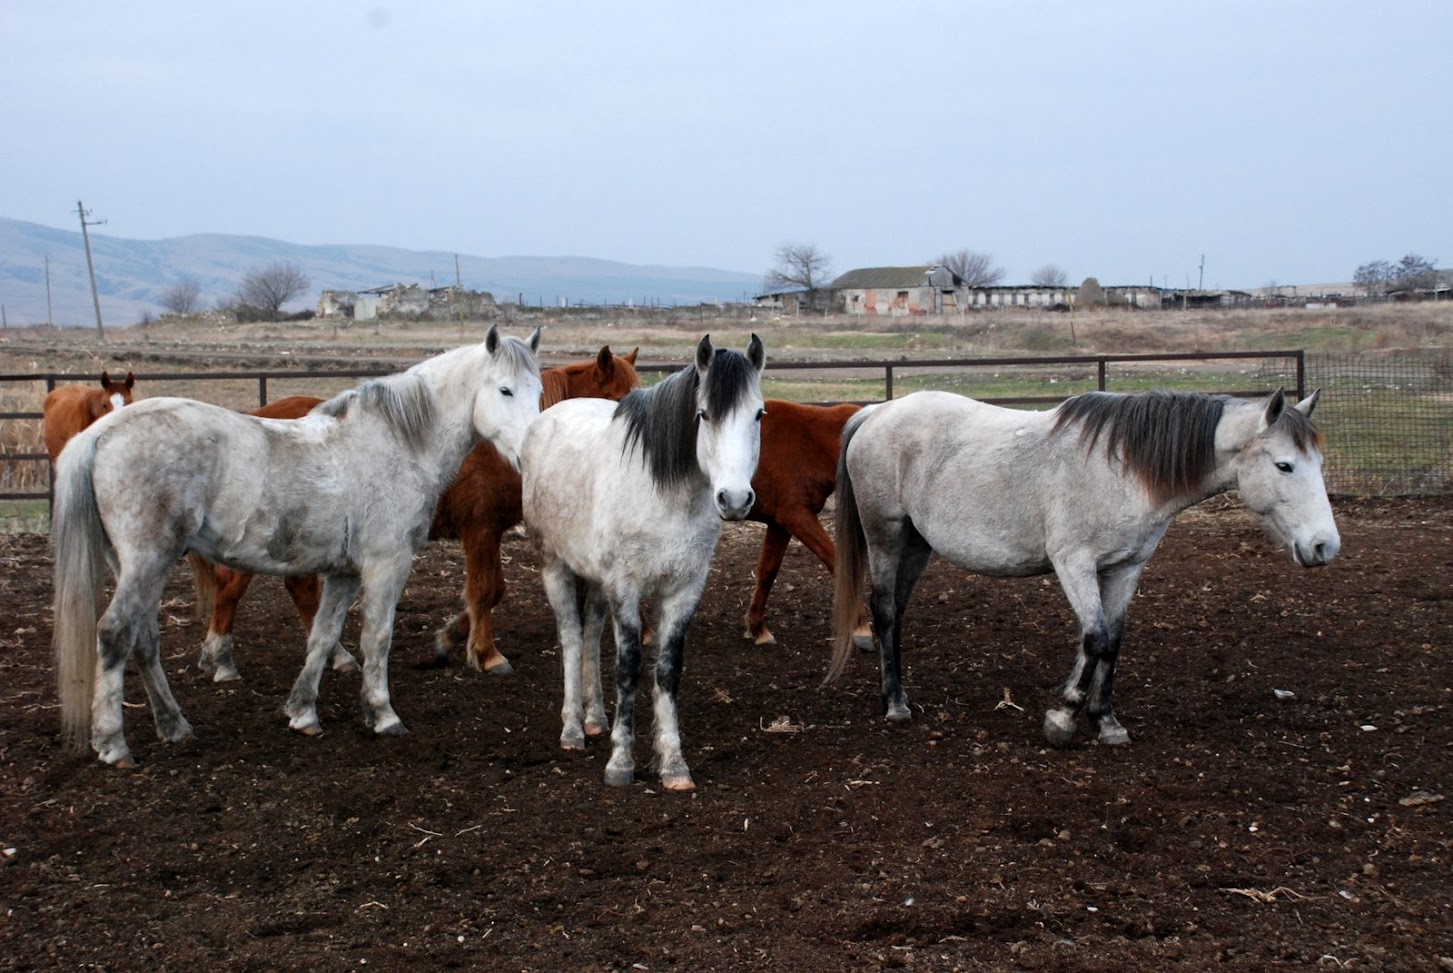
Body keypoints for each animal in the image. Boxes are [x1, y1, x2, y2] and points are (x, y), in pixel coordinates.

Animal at [52, 326, 543, 767]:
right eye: (504, 389)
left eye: (537, 390)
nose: (529, 454)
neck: (396, 443)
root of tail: (100, 433)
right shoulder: (387, 564)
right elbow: (377, 637)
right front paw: (382, 714)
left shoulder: (344, 572)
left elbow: (324, 635)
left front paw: (302, 712)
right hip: (148, 560)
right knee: (115, 634)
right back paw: (113, 743)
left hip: (136, 565)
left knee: (144, 639)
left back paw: (174, 726)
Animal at [187, 347, 641, 683]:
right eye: (620, 402)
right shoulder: (481, 530)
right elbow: (485, 589)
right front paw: (486, 654)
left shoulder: (488, 532)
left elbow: (493, 591)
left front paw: (450, 639)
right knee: (233, 585)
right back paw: (222, 660)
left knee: (297, 588)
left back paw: (331, 656)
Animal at [522, 334, 765, 791]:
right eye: (703, 414)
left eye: (759, 413)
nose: (735, 499)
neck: (666, 496)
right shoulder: (626, 587)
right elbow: (629, 665)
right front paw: (621, 763)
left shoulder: (685, 589)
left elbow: (668, 669)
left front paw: (673, 763)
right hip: (554, 565)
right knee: (572, 637)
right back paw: (573, 729)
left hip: (596, 579)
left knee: (591, 630)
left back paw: (595, 718)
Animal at [742, 400, 872, 648]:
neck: (811, 441)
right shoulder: (797, 517)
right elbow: (836, 561)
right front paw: (861, 626)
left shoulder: (780, 524)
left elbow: (767, 573)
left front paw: (757, 628)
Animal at [829, 388, 1340, 747]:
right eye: (1285, 465)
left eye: (1319, 462)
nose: (1324, 546)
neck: (1126, 470)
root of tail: (876, 412)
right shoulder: (1073, 562)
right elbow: (1093, 636)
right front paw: (1063, 718)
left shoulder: (1126, 568)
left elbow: (1111, 641)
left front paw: (1106, 720)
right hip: (886, 535)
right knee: (884, 610)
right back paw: (895, 703)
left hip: (917, 545)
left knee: (896, 611)